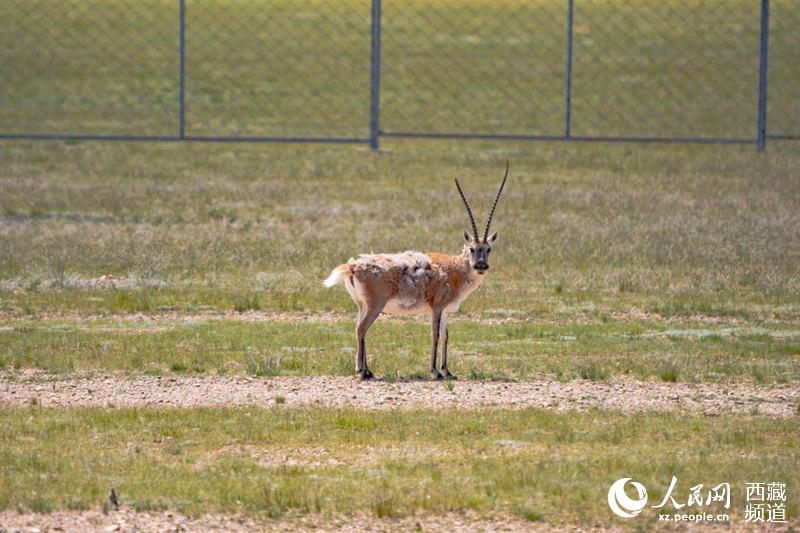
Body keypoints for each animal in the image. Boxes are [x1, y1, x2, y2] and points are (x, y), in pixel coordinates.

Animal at [322, 161, 510, 378]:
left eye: (488, 249)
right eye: (472, 248)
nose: (480, 266)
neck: (453, 268)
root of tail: (353, 265)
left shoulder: (446, 311)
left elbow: (446, 336)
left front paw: (447, 370)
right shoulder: (437, 308)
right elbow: (435, 335)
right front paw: (435, 371)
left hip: (362, 305)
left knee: (359, 329)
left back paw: (366, 370)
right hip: (374, 306)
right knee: (361, 329)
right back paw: (362, 372)